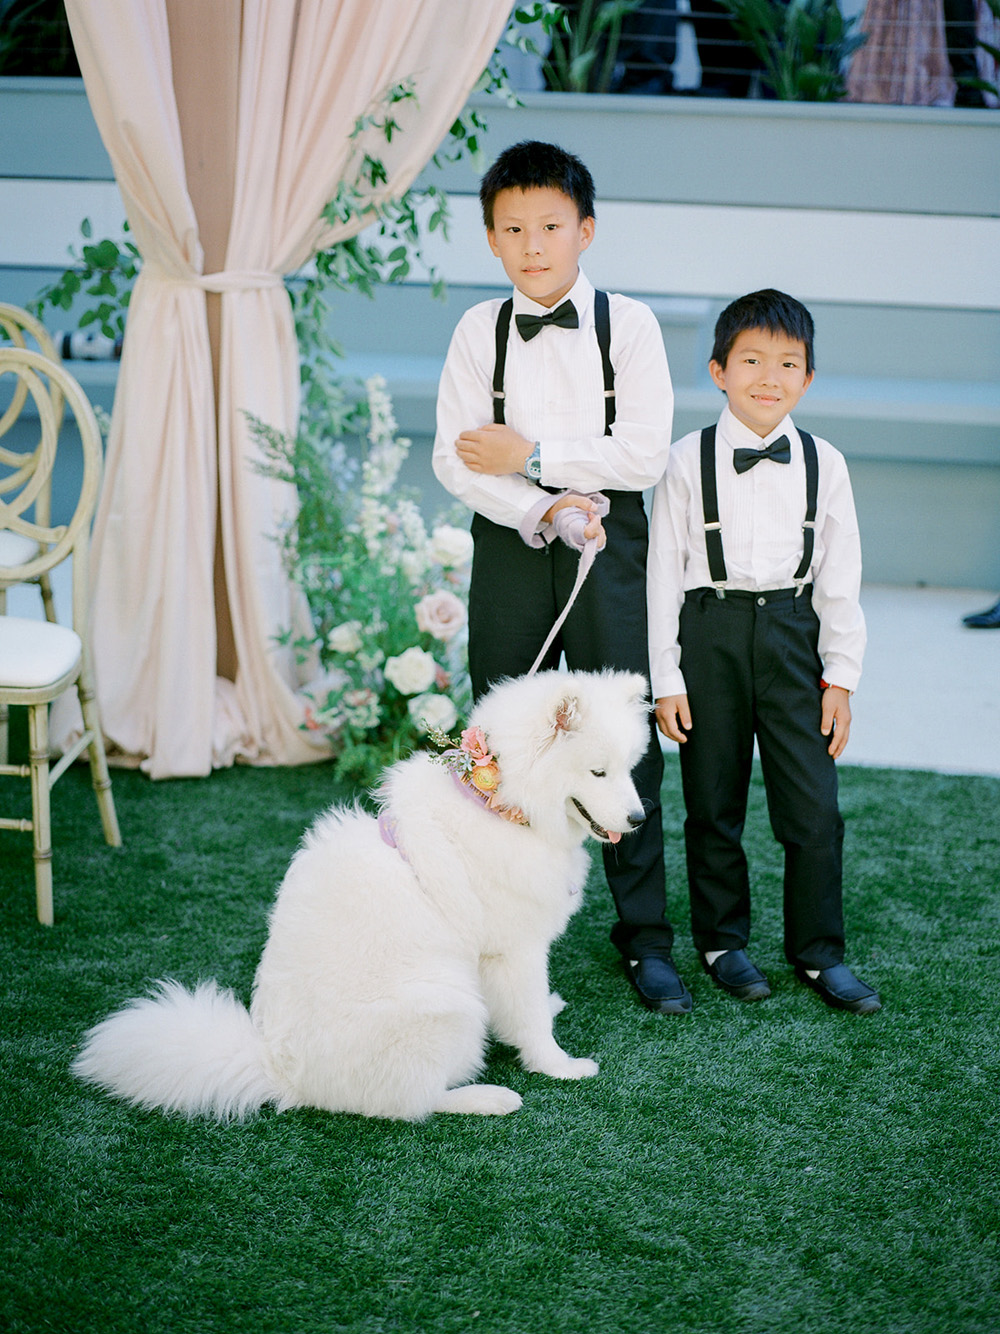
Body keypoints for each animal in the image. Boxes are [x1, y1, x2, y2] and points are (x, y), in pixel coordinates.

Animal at [70, 672, 650, 1120]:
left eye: (629, 769)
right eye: (597, 771)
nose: (640, 819)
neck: (501, 805)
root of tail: (282, 1072)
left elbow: (530, 1009)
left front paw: (550, 1013)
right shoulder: (515, 950)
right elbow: (531, 1020)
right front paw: (560, 1067)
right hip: (448, 1002)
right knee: (409, 1103)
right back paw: (488, 1098)